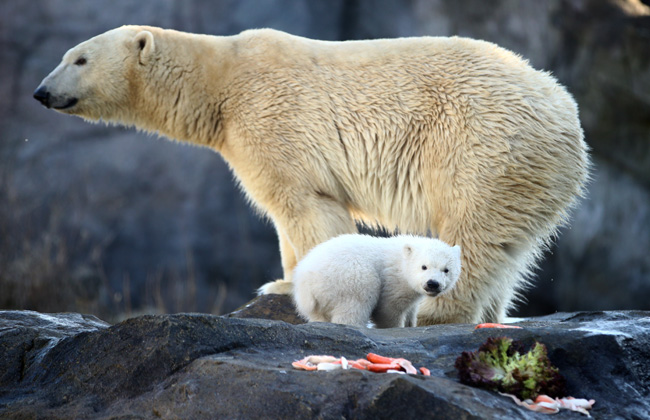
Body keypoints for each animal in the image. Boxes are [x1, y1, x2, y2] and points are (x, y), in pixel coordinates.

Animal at [34, 24, 588, 324]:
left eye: (79, 58)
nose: (41, 92)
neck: (222, 83)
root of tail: (566, 113)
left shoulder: (272, 120)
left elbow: (305, 206)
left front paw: (300, 287)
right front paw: (279, 284)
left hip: (480, 146)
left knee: (470, 231)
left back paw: (437, 309)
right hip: (528, 174)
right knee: (509, 248)